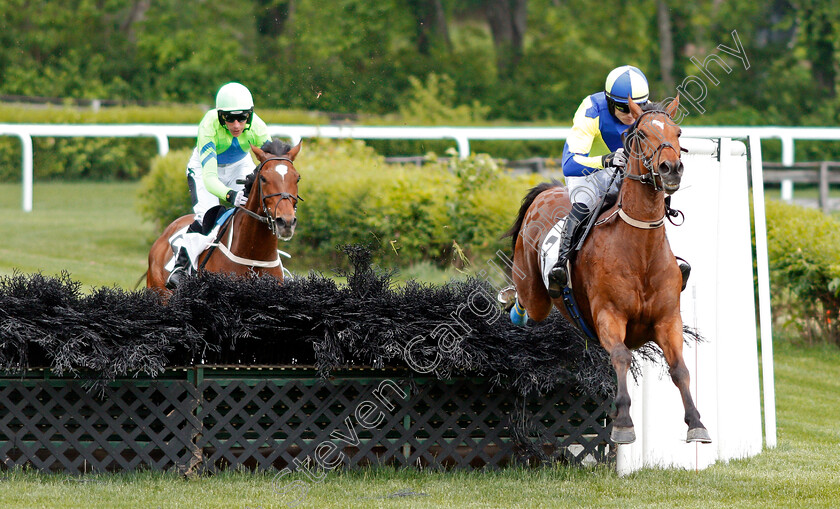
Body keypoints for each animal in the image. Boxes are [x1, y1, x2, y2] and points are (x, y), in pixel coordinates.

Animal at [506, 96, 708, 444]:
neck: (640, 251)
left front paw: (696, 422)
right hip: (535, 293)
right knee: (526, 302)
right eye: (641, 134)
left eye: (678, 132)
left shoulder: (668, 319)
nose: (671, 169)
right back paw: (512, 307)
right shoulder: (608, 315)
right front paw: (623, 422)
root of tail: (546, 191)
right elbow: (622, 356)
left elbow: (680, 368)